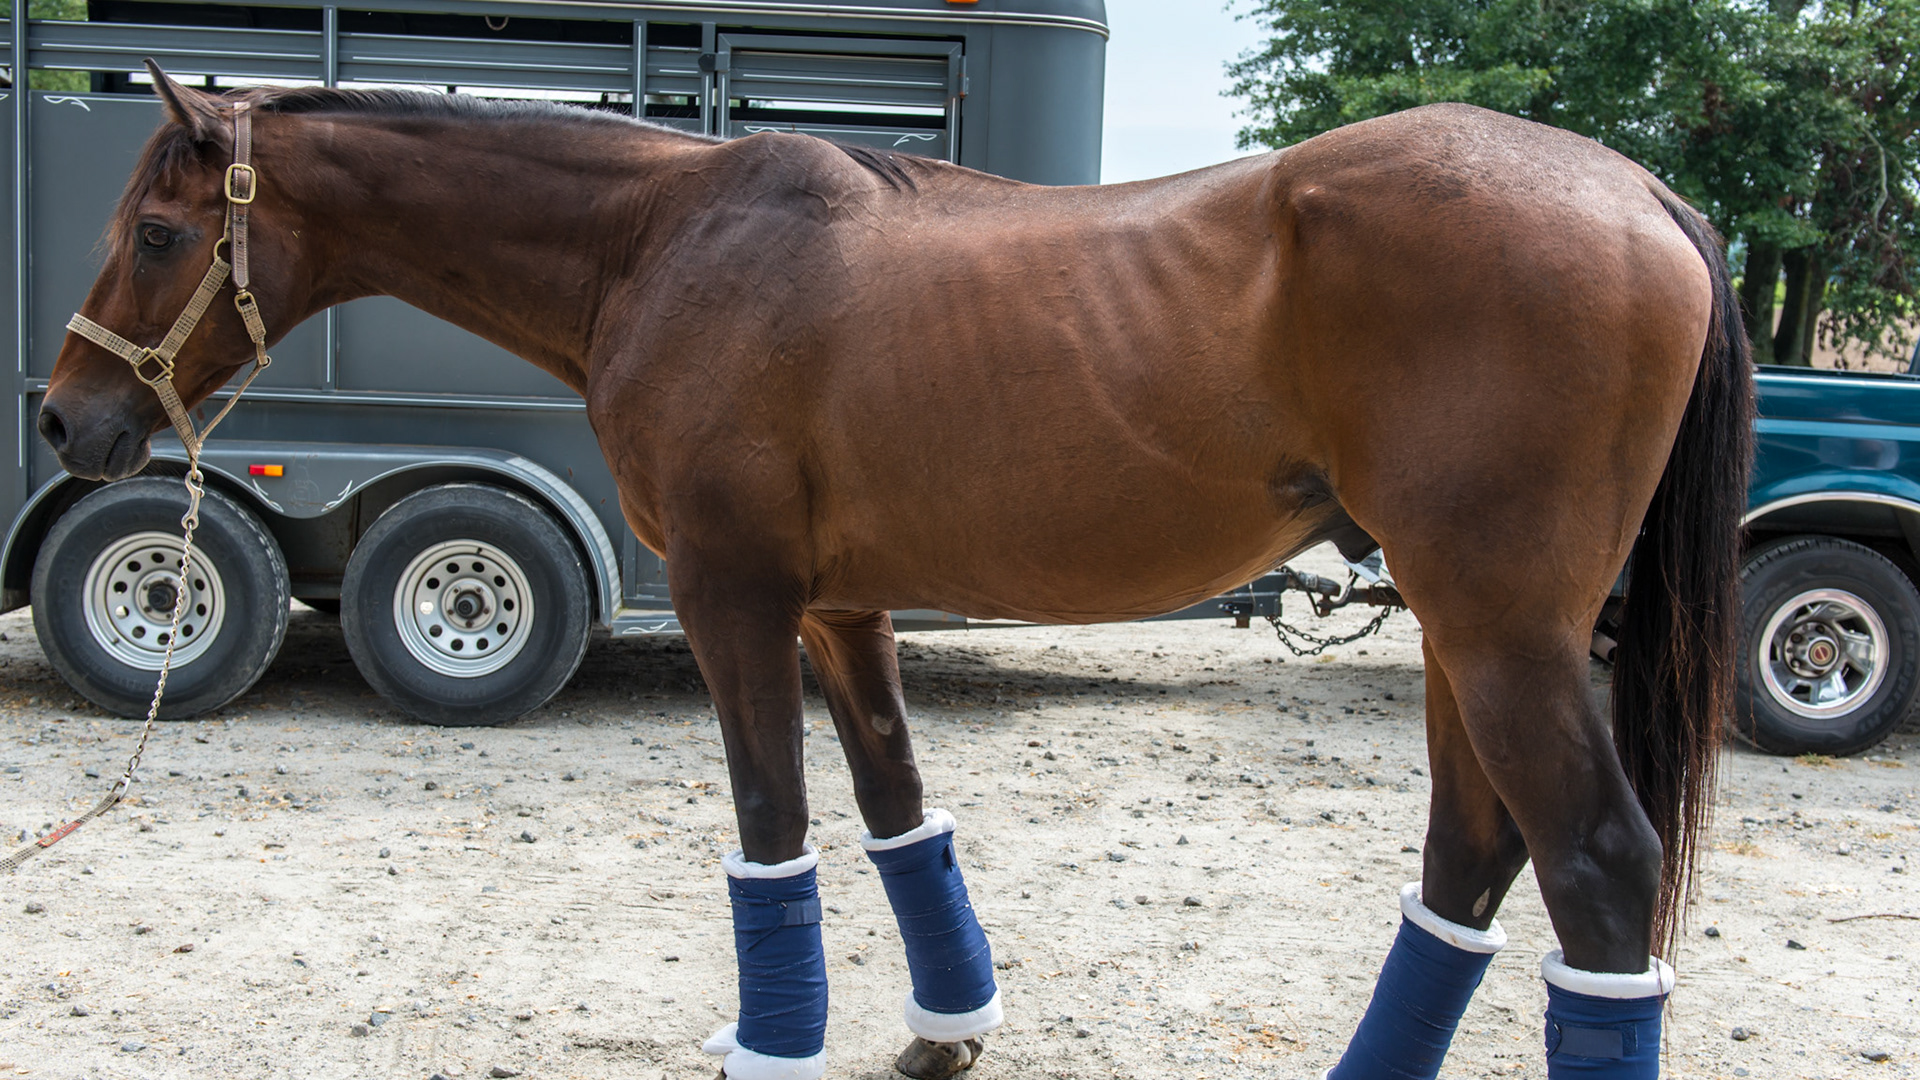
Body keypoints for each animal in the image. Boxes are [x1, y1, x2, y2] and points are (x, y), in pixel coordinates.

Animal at [42, 65, 1752, 1080]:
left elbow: (774, 833)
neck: (665, 239)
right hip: (1468, 632)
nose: (66, 420)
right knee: (1471, 857)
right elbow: (894, 813)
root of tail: (1647, 195)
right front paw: (943, 1035)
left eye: (156, 231)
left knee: (1597, 868)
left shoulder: (734, 600)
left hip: (1503, 628)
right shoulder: (837, 607)